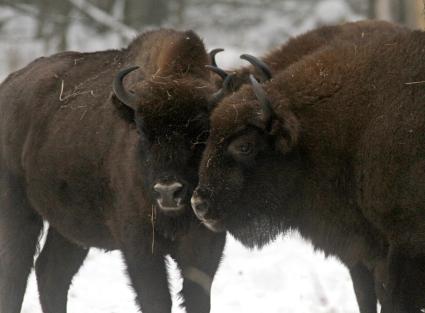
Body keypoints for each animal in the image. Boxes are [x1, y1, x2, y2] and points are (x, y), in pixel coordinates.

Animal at [0, 29, 227, 312]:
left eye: (201, 132)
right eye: (142, 131)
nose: (168, 191)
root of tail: (8, 85)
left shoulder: (205, 243)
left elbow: (197, 297)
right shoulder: (140, 246)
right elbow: (156, 299)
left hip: (69, 229)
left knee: (51, 273)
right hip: (17, 210)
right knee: (15, 272)